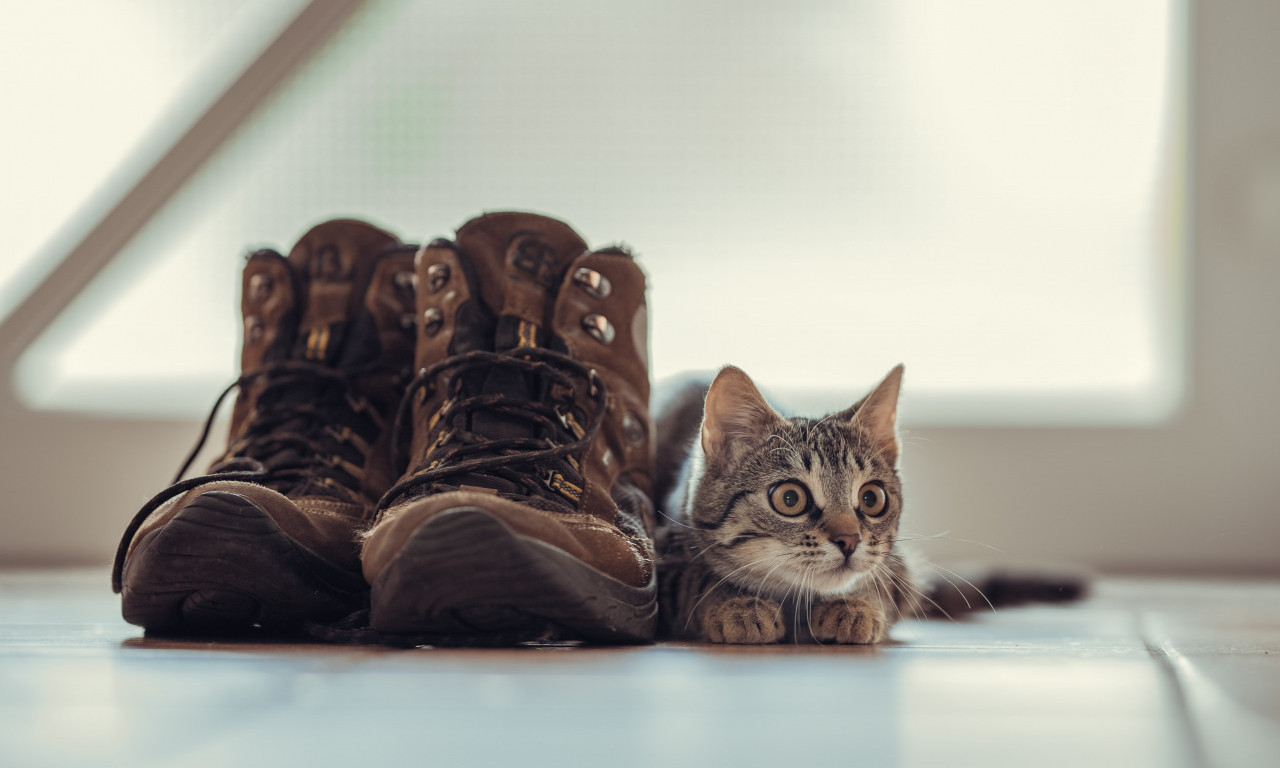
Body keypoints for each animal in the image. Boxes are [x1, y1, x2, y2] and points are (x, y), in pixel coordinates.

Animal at [655, 363, 916, 642]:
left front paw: (854, 605)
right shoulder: (663, 563)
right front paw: (738, 605)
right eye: (790, 498)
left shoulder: (901, 571)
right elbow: (695, 579)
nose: (850, 540)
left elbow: (880, 583)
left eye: (871, 498)